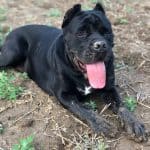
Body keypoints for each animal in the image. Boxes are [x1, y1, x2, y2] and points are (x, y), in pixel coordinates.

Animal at [0, 3, 148, 142]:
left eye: (106, 32)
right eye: (81, 33)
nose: (100, 45)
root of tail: (13, 31)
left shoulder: (110, 89)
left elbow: (122, 106)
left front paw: (134, 124)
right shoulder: (64, 95)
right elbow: (83, 109)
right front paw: (101, 124)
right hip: (13, 52)